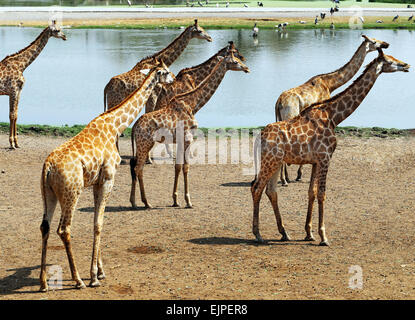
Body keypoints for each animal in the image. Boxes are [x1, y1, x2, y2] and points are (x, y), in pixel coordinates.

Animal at [0, 21, 66, 149]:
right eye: (57, 30)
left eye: (60, 28)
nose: (65, 37)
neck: (22, 65)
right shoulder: (13, 90)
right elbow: (12, 115)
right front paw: (11, 143)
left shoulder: (18, 91)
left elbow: (16, 115)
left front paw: (16, 142)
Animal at [39, 60, 174, 292]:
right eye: (165, 72)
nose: (174, 79)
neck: (114, 126)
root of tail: (48, 167)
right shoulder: (109, 178)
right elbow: (99, 223)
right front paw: (94, 276)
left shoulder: (96, 182)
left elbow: (96, 220)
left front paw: (100, 271)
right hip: (71, 192)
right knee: (64, 229)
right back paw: (78, 280)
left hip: (49, 193)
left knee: (45, 227)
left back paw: (44, 283)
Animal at [128, 49, 249, 209]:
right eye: (235, 61)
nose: (247, 68)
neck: (192, 103)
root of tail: (135, 126)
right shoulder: (188, 138)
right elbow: (186, 167)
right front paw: (188, 201)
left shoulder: (180, 140)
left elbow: (178, 166)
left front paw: (175, 200)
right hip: (145, 143)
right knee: (138, 168)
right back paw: (146, 202)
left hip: (143, 144)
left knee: (135, 167)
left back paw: (134, 202)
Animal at [276, 34, 390, 185]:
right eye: (374, 41)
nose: (386, 44)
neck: (330, 84)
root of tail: (278, 102)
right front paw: (300, 175)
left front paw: (299, 175)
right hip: (290, 115)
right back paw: (284, 180)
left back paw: (285, 178)